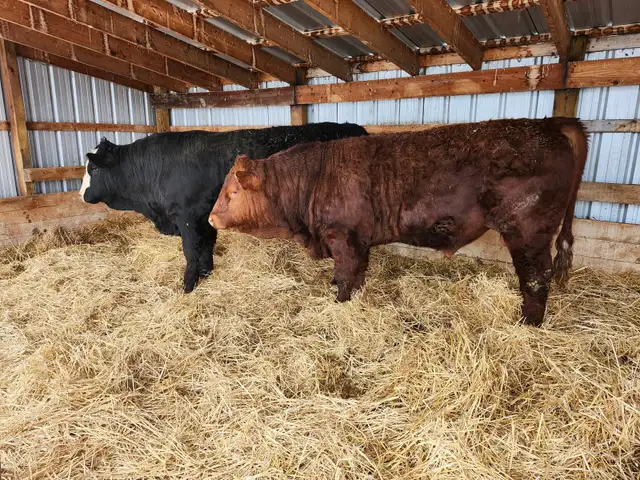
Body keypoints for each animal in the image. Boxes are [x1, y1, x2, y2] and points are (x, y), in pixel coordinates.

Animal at [79, 123, 368, 292]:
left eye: (94, 168)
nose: (81, 194)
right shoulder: (203, 217)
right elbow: (206, 247)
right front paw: (206, 274)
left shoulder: (187, 217)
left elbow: (191, 251)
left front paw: (188, 286)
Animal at [209, 118, 588, 327]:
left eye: (232, 191)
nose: (211, 218)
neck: (312, 179)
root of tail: (547, 123)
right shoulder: (358, 240)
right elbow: (355, 274)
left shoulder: (343, 237)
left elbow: (346, 276)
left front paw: (340, 303)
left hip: (527, 232)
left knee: (536, 278)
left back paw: (527, 323)